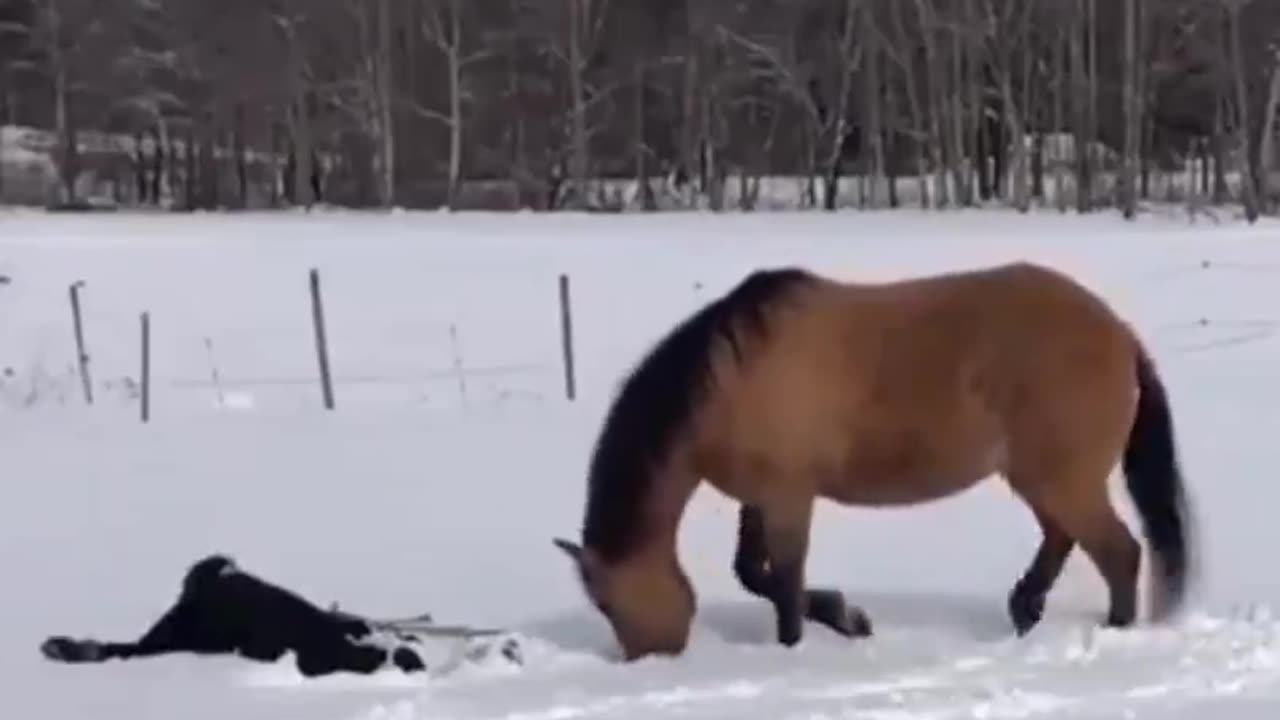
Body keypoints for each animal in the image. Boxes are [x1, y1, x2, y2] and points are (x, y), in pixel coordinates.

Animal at [555, 260, 1192, 661]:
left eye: (606, 600)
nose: (646, 659)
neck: (731, 378)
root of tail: (1120, 333)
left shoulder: (790, 496)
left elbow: (783, 581)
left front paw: (802, 645)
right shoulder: (760, 497)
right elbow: (752, 572)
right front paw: (848, 618)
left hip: (1063, 480)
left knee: (1119, 552)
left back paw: (1110, 631)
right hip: (1040, 478)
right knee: (1063, 538)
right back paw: (1025, 609)